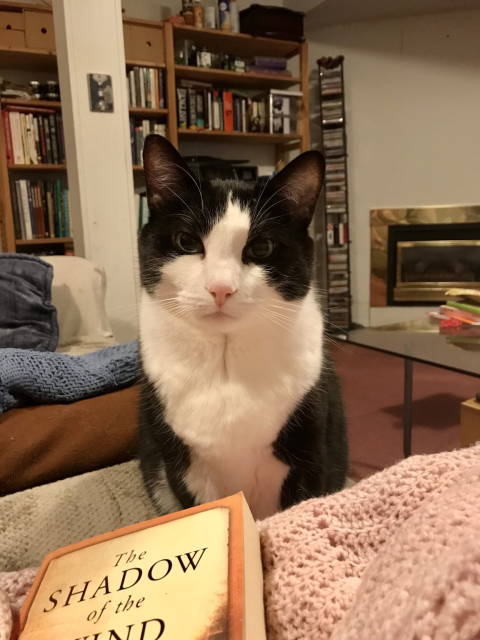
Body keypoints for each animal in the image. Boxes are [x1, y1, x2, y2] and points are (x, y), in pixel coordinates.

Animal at [137, 135, 346, 520]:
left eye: (262, 247)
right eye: (186, 241)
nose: (221, 288)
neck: (226, 361)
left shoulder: (313, 449)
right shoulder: (180, 466)